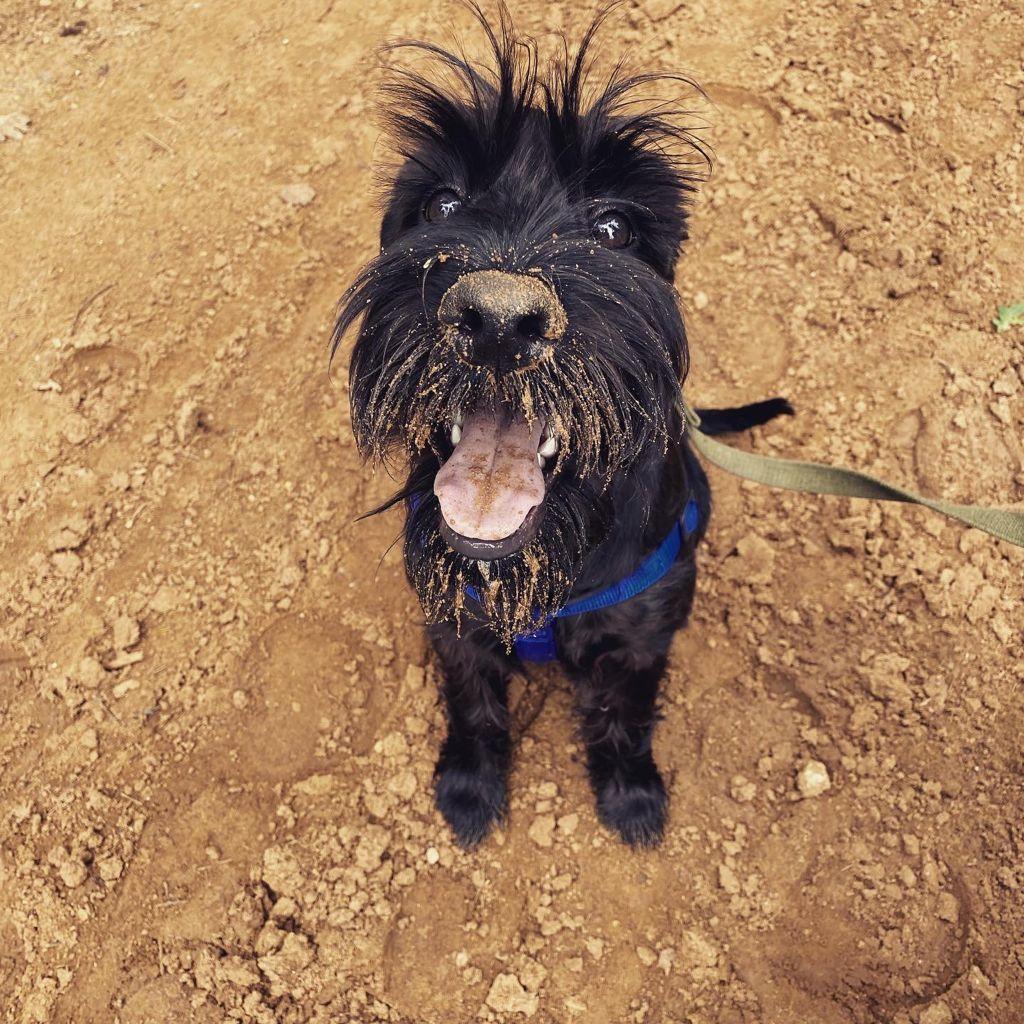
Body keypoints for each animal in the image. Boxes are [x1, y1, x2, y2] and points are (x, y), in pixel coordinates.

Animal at [333, 5, 791, 847]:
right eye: (441, 205)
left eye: (613, 229)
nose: (497, 319)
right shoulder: (454, 624)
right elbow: (474, 705)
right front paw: (469, 788)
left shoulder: (640, 639)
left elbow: (624, 716)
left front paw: (632, 796)